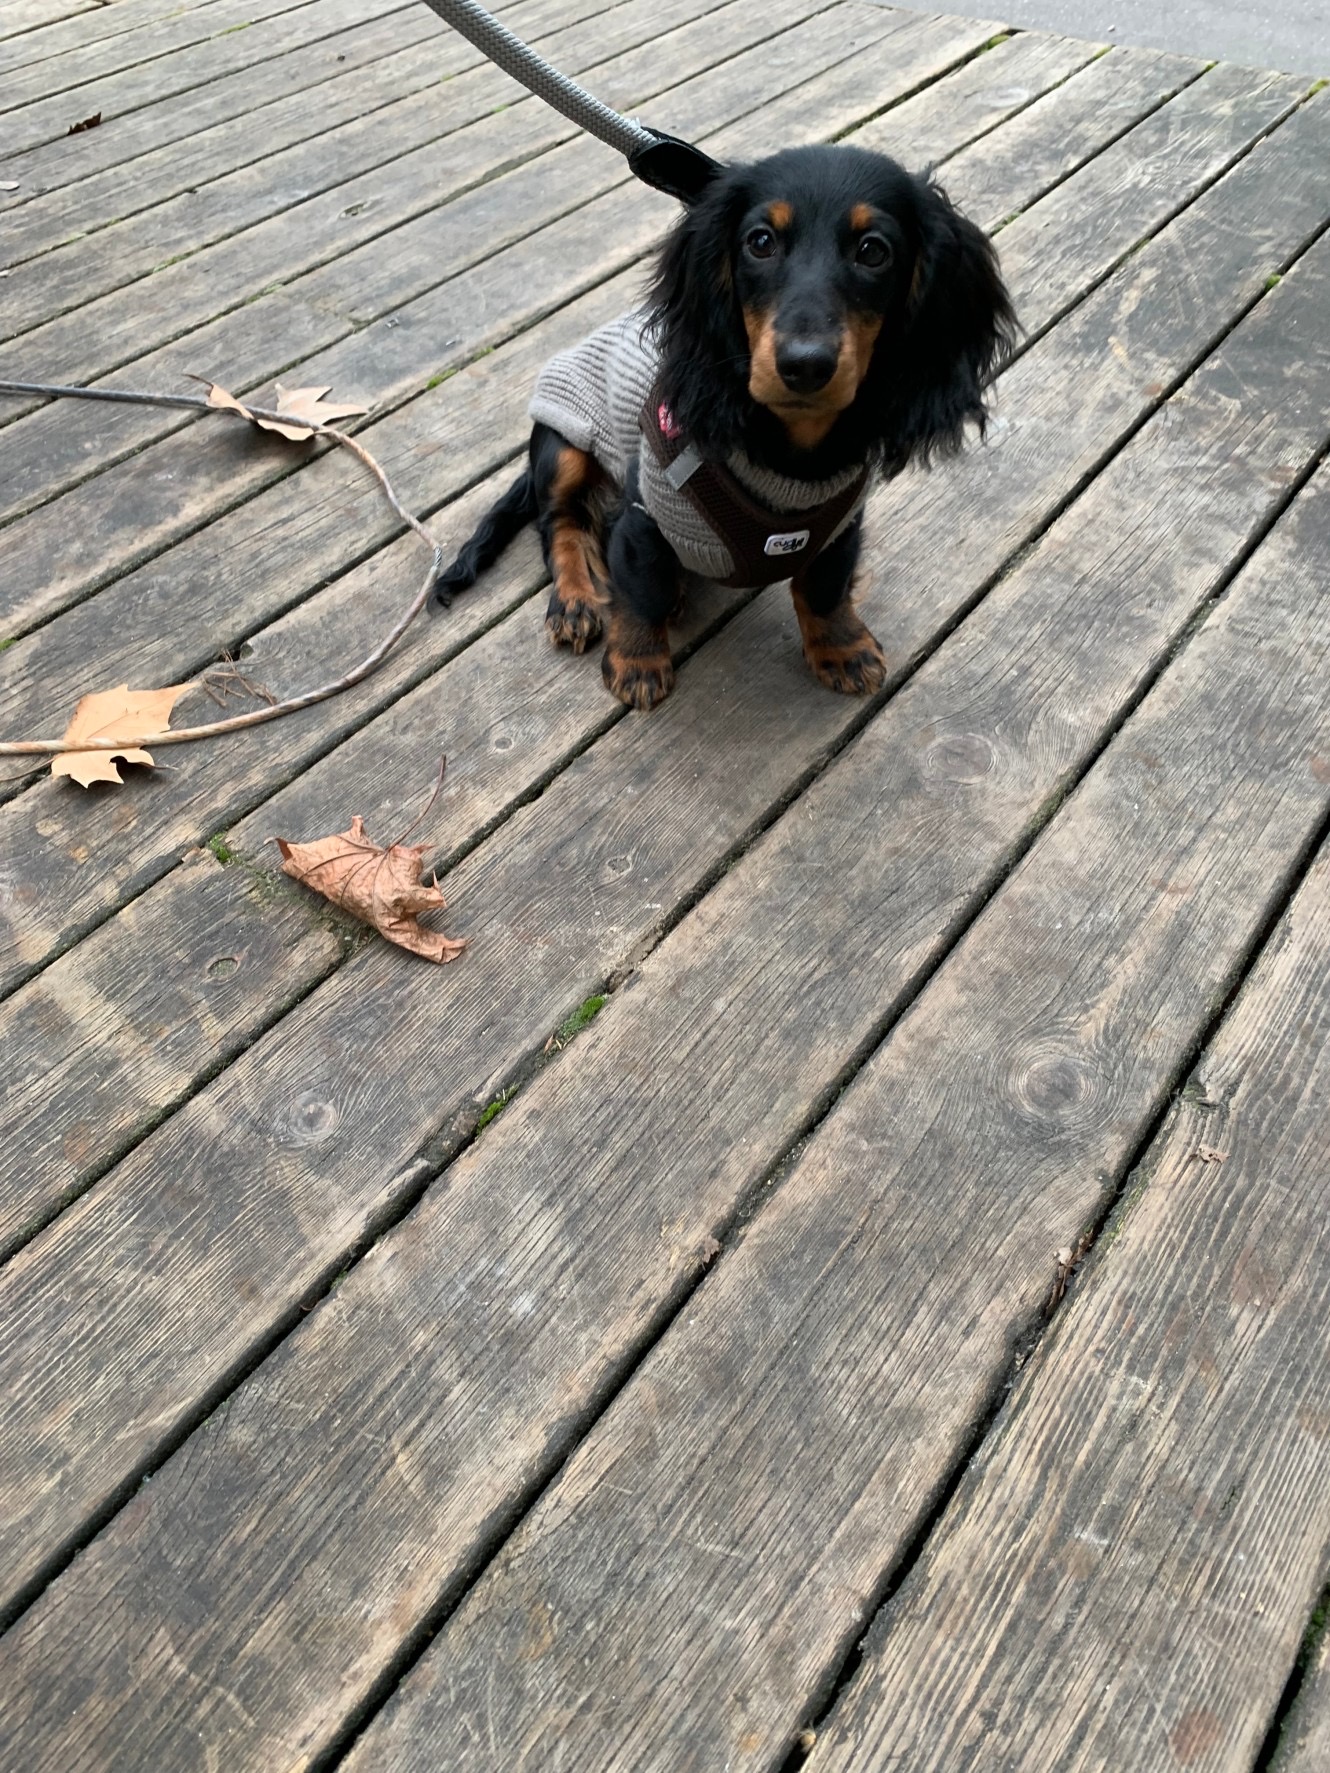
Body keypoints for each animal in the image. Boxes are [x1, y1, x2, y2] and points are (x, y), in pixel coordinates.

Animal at [432, 140, 1014, 705]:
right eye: (760, 242)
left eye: (874, 251)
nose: (805, 365)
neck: (789, 452)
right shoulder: (645, 512)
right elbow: (640, 590)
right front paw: (637, 661)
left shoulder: (841, 526)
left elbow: (826, 587)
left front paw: (842, 649)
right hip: (564, 443)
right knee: (561, 522)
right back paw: (576, 599)